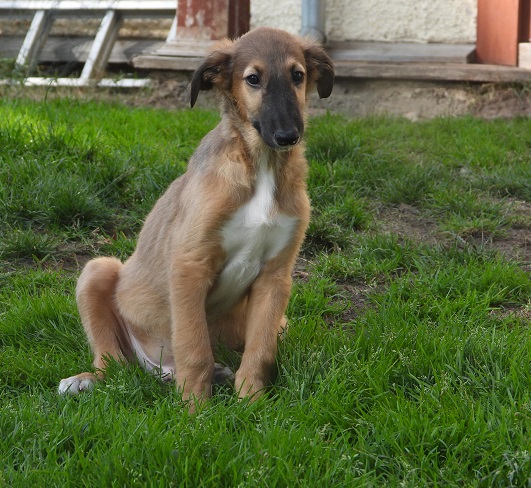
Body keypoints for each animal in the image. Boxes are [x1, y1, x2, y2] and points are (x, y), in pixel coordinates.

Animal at [58, 27, 334, 408]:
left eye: (298, 75)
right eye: (253, 78)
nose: (288, 136)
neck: (260, 166)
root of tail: (155, 368)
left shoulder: (275, 276)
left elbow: (260, 351)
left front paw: (251, 402)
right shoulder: (190, 264)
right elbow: (194, 347)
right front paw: (195, 411)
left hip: (281, 321)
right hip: (98, 271)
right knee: (112, 362)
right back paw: (85, 380)